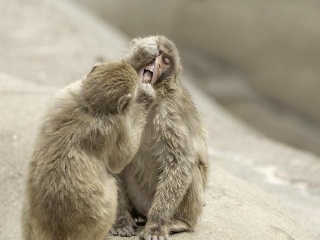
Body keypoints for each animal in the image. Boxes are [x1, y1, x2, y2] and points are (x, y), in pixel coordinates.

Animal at [20, 60, 156, 240]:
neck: (90, 104)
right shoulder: (114, 126)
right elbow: (120, 159)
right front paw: (144, 99)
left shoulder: (66, 92)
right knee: (111, 184)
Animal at [110, 36, 210, 240]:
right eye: (157, 54)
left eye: (165, 61)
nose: (155, 63)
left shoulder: (171, 114)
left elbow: (180, 162)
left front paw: (156, 226)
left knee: (191, 168)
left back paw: (179, 222)